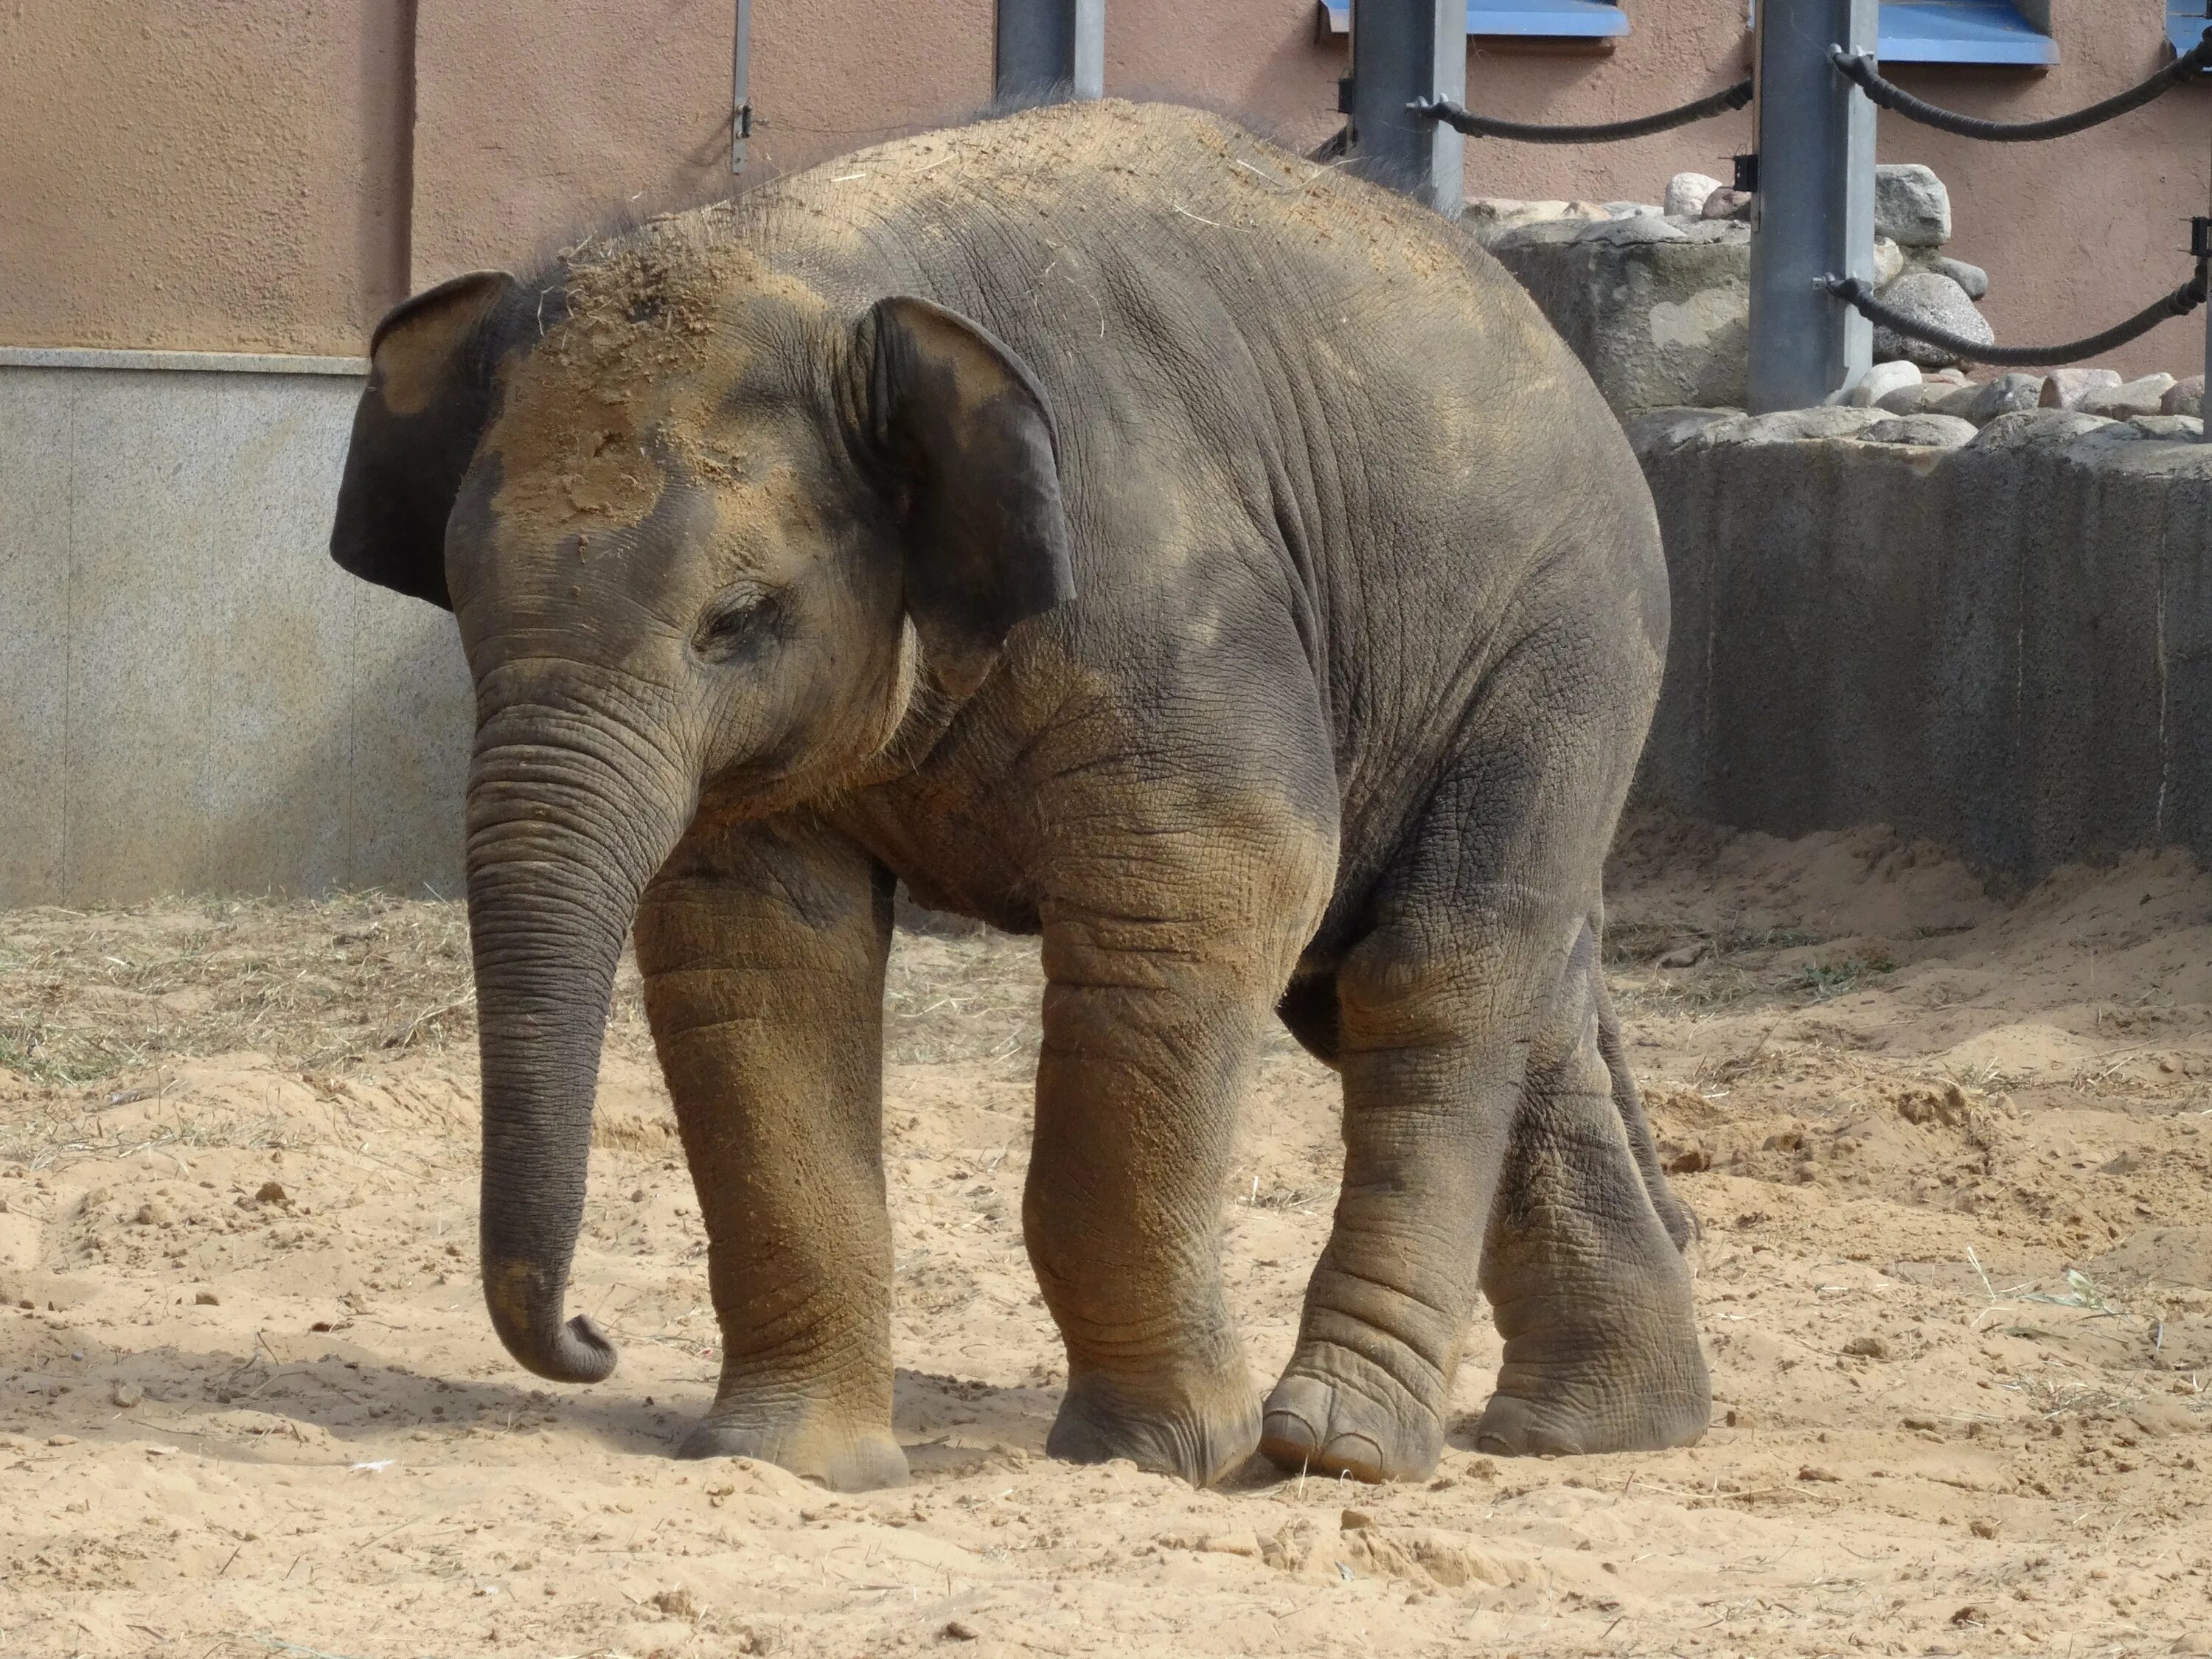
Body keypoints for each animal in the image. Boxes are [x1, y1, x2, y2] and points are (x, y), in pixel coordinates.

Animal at [332, 97, 1708, 1504]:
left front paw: (1157, 1457)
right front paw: (789, 1462)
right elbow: (760, 954)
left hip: (1562, 643)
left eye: (738, 620)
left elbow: (1205, 897)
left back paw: (1339, 1445)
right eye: (464, 603)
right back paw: (1596, 1427)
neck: (819, 265)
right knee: (1462, 991)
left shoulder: (1164, 591)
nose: (593, 1336)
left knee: (1434, 968)